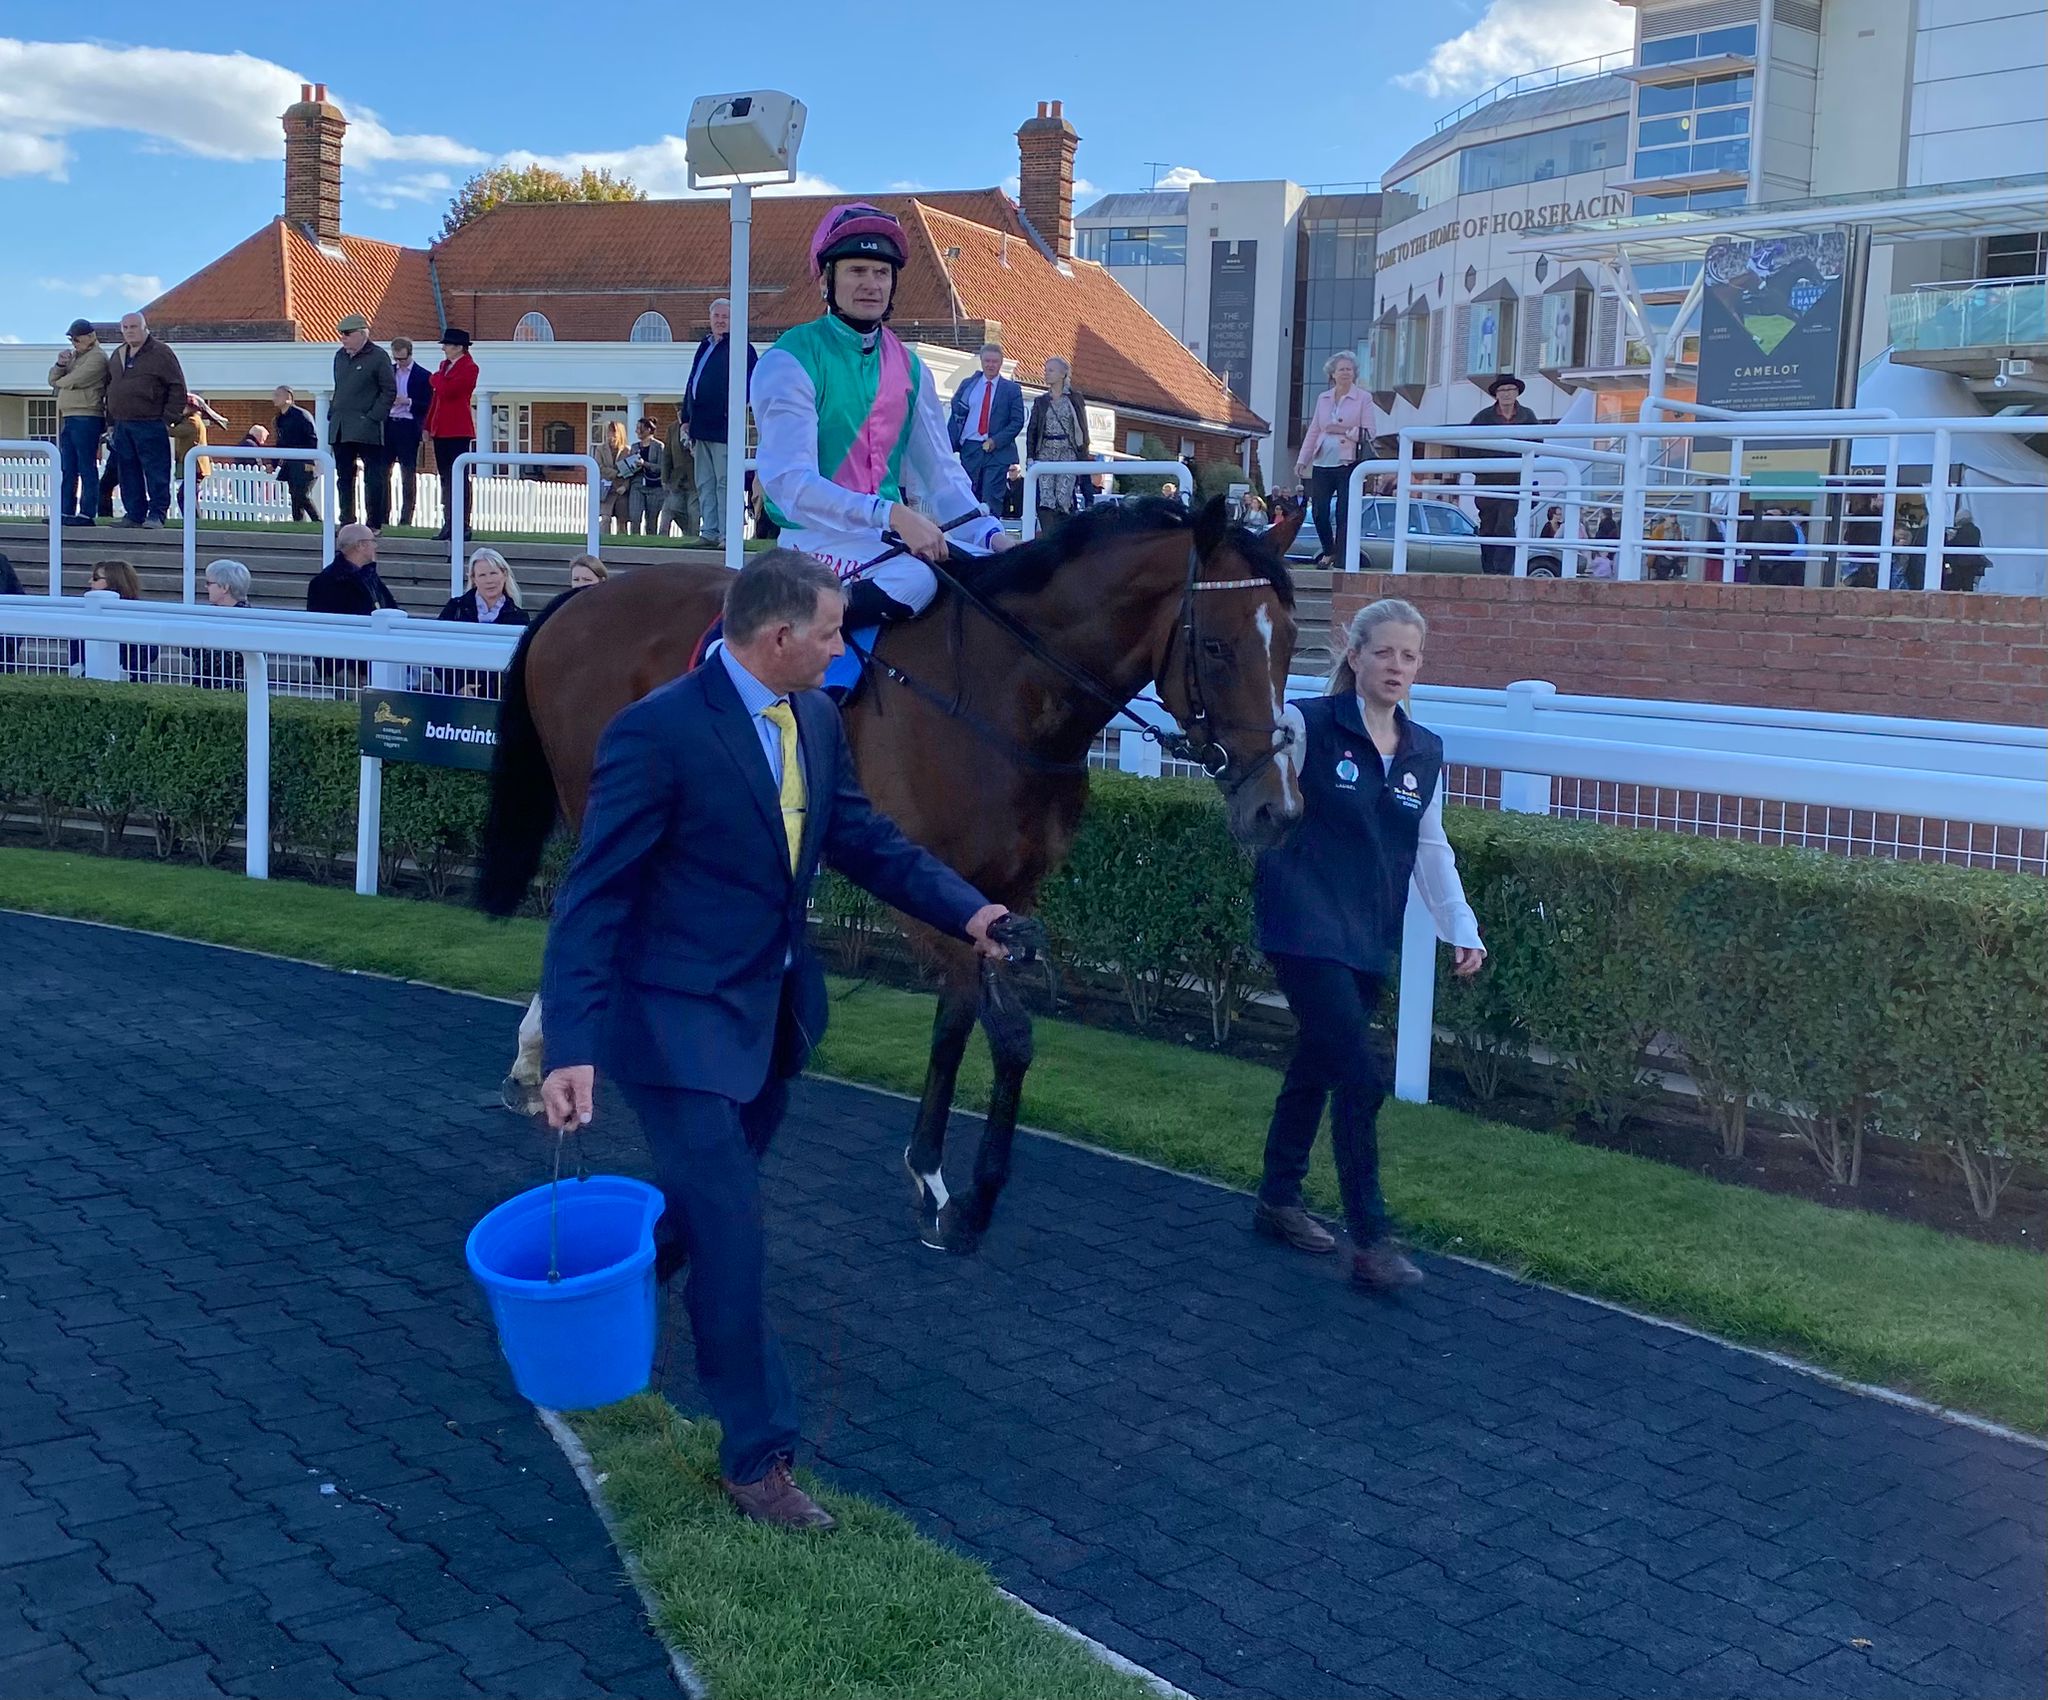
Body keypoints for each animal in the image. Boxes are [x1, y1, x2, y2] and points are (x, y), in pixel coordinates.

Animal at [477, 499, 1302, 1261]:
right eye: (1217, 646)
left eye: (1291, 643)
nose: (1276, 809)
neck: (1006, 696)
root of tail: (582, 600)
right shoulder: (925, 895)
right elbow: (1010, 1036)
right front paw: (970, 1199)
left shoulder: (999, 898)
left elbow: (958, 1024)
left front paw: (929, 1174)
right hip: (599, 798)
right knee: (584, 908)